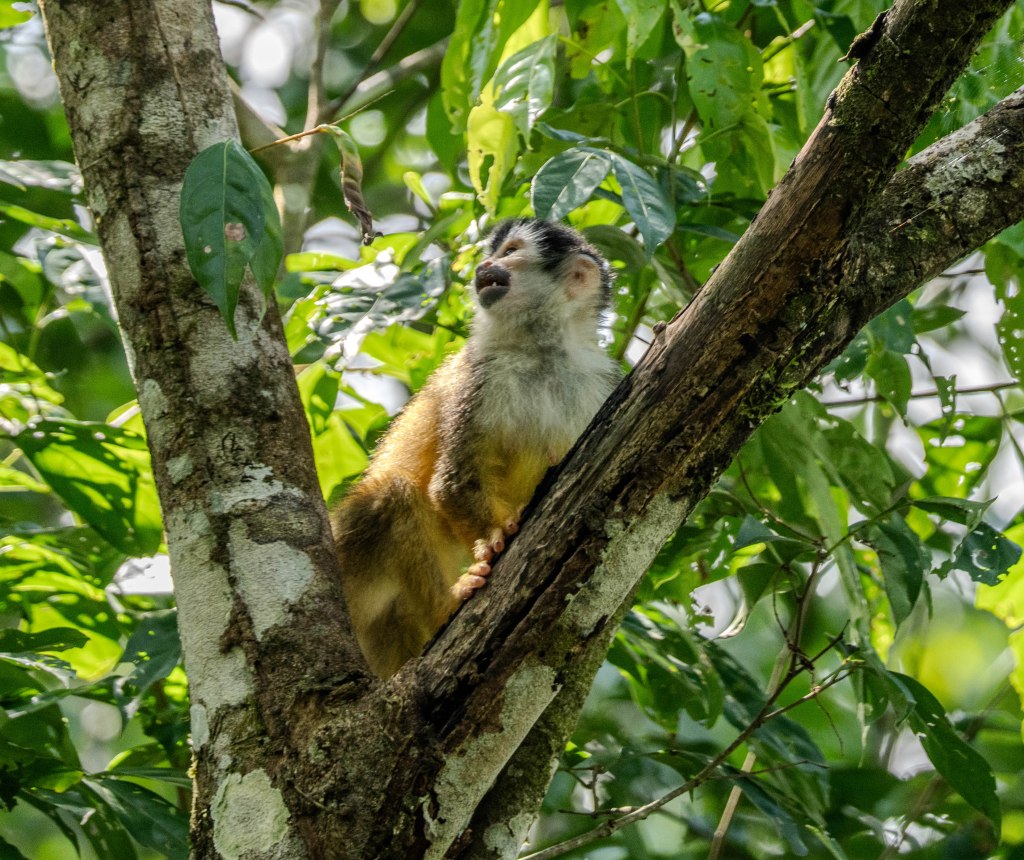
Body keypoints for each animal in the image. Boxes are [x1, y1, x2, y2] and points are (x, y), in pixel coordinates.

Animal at [331, 218, 618, 677]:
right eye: (494, 252)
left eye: (511, 251)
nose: (484, 265)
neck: (543, 351)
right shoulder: (479, 373)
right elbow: (452, 482)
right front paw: (496, 535)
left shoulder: (601, 384)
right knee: (392, 493)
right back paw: (446, 607)